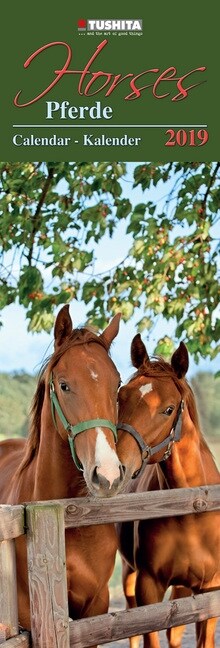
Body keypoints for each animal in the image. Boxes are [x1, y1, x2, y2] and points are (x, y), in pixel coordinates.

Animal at [117, 334, 220, 648]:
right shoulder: (148, 586)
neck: (191, 511)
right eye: (121, 396)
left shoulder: (210, 590)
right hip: (129, 575)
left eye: (169, 409)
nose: (117, 464)